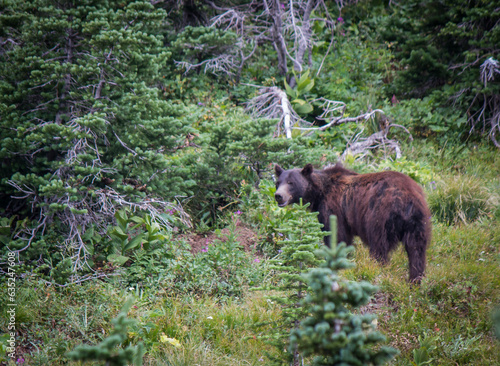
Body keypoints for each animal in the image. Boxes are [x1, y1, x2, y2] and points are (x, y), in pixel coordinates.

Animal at [276, 163, 432, 284]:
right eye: (278, 182)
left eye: (291, 183)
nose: (278, 195)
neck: (319, 193)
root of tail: (408, 198)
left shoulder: (333, 208)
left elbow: (336, 237)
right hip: (418, 222)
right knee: (416, 251)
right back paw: (415, 280)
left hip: (380, 216)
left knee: (379, 245)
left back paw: (378, 268)